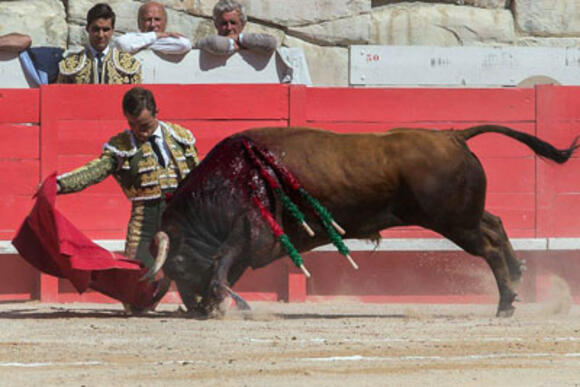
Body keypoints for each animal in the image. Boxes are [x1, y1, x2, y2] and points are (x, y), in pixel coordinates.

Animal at [143, 126, 576, 320]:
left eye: (178, 265)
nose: (194, 308)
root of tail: (452, 135)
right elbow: (226, 264)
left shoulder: (255, 234)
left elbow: (223, 261)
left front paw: (226, 304)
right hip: (463, 215)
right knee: (496, 225)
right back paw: (518, 278)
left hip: (454, 222)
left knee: (487, 246)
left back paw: (505, 303)